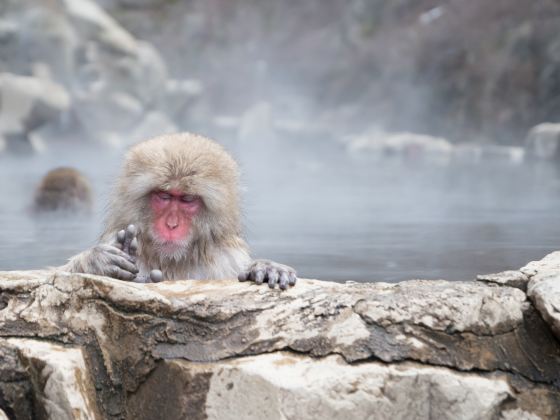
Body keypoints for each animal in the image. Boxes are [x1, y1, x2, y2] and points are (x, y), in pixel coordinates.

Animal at [61, 134, 298, 288]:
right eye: (164, 196)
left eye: (187, 199)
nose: (171, 224)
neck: (174, 262)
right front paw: (95, 262)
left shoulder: (227, 259)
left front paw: (267, 268)